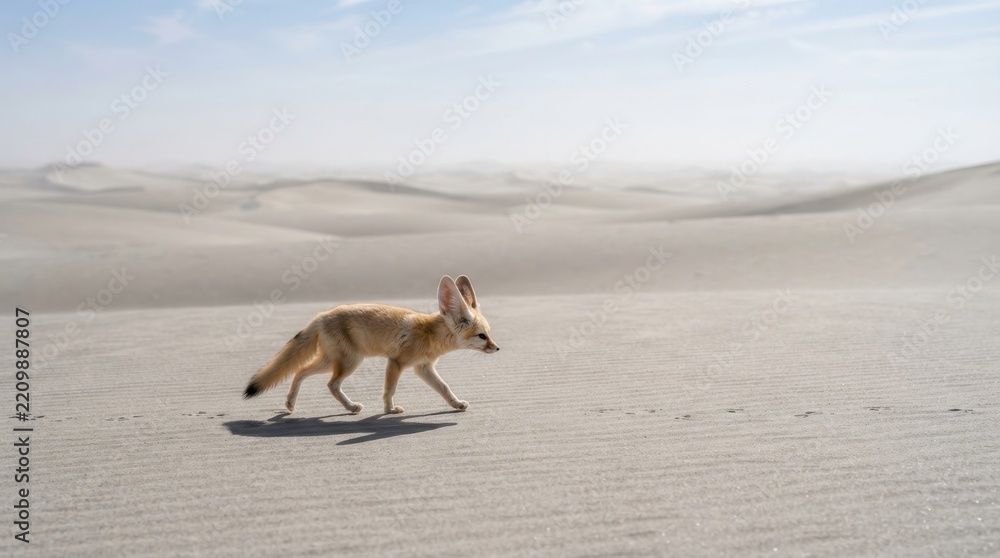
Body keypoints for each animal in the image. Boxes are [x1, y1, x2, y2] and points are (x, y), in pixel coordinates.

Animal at [243, 275, 499, 414]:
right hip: (349, 362)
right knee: (330, 384)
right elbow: (389, 390)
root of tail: (321, 315)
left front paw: (456, 404)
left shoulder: (423, 367)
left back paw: (290, 404)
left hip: (330, 361)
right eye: (482, 336)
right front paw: (389, 410)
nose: (497, 349)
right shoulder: (396, 362)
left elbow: (444, 387)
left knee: (299, 371)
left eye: (488, 334)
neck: (428, 334)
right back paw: (350, 407)